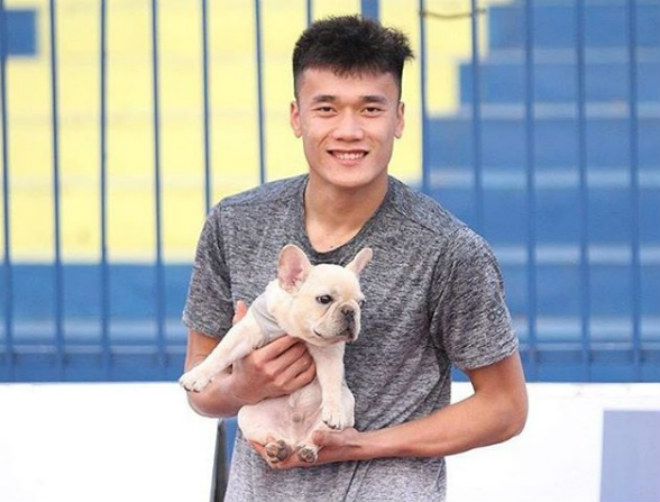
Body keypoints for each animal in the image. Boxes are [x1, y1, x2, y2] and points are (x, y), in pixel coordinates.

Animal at [179, 243, 372, 464]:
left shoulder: (329, 355)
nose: (350, 311)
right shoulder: (245, 332)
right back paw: (276, 448)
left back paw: (307, 449)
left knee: (317, 438)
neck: (296, 331)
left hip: (345, 405)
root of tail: (294, 437)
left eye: (361, 303)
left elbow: (331, 384)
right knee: (270, 438)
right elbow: (220, 354)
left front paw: (333, 410)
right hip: (247, 415)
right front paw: (196, 376)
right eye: (324, 299)